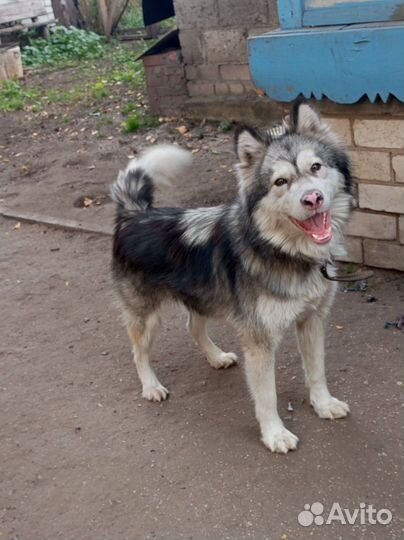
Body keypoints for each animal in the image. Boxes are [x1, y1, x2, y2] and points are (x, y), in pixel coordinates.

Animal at [111, 100, 354, 452]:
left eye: (316, 167)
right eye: (280, 182)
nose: (312, 199)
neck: (281, 250)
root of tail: (135, 215)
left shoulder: (312, 321)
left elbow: (316, 371)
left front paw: (323, 405)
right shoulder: (259, 341)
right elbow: (267, 396)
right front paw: (274, 434)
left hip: (202, 297)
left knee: (192, 326)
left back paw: (216, 357)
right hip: (146, 316)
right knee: (138, 351)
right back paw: (151, 386)